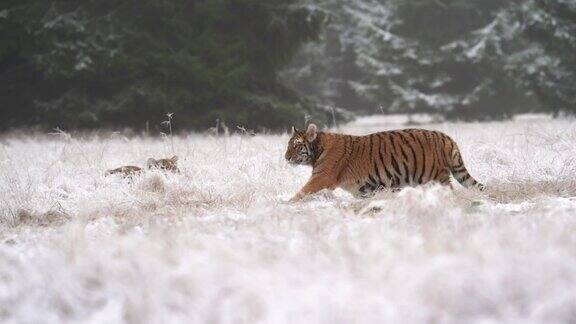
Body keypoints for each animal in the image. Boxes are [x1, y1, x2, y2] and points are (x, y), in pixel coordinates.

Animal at [286, 123, 484, 201]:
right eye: (288, 145)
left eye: (296, 145)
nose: (286, 157)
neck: (318, 149)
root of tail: (446, 137)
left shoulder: (322, 177)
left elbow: (302, 192)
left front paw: (286, 204)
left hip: (436, 177)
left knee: (449, 192)